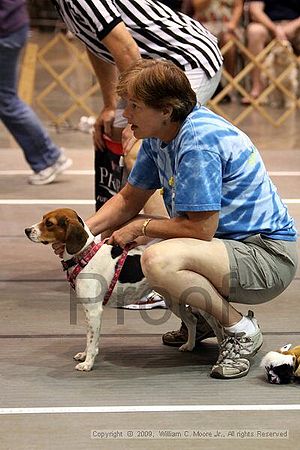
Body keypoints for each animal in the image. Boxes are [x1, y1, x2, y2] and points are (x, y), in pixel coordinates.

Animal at [25, 209, 220, 370]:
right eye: (43, 218)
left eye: (49, 223)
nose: (27, 230)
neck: (86, 255)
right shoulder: (88, 312)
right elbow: (88, 338)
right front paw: (84, 355)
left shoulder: (94, 311)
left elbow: (92, 340)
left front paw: (88, 363)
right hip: (174, 300)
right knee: (192, 320)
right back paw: (189, 345)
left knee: (216, 324)